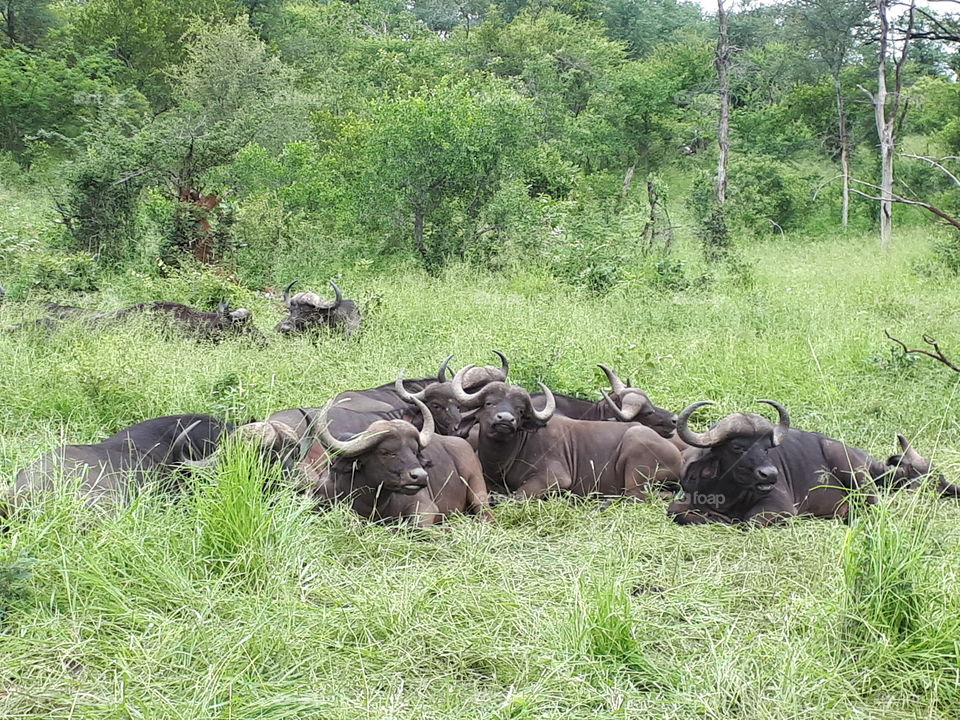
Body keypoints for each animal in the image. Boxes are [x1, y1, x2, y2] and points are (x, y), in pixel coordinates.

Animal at [303, 393, 491, 526]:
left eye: (414, 451)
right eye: (386, 452)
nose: (420, 476)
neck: (372, 503)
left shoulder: (426, 507)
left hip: (477, 488)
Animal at [452, 367, 683, 501]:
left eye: (520, 410)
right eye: (489, 403)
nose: (505, 420)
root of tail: (678, 456)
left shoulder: (555, 479)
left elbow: (517, 496)